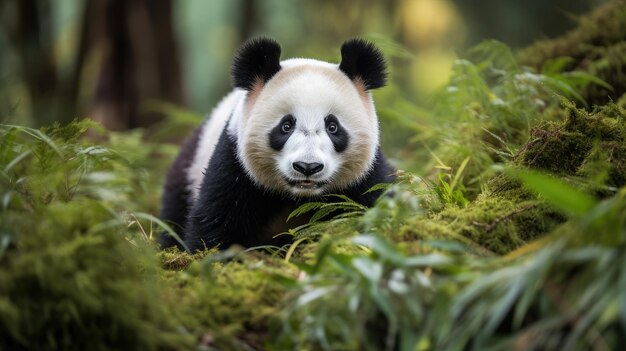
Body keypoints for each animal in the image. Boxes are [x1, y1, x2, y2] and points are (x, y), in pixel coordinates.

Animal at [161, 37, 394, 253]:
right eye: (286, 125)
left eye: (333, 126)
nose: (307, 167)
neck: (298, 197)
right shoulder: (235, 166)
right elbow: (216, 222)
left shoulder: (365, 177)